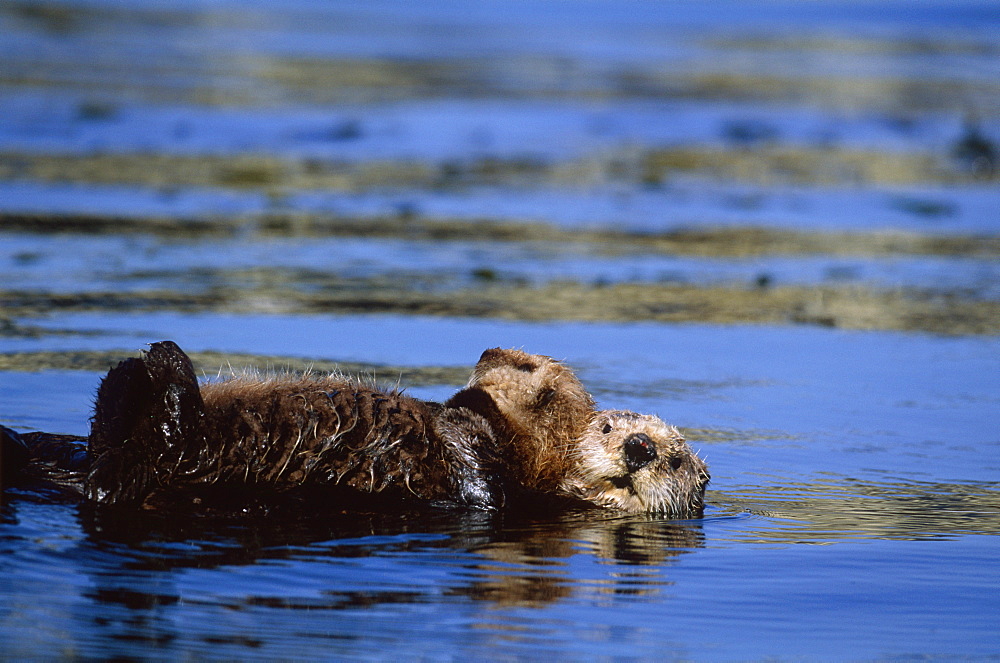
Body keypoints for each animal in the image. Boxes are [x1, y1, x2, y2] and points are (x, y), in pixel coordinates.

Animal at [0, 342, 708, 520]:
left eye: (675, 461)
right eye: (613, 427)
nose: (641, 447)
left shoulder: (502, 491)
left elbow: (477, 479)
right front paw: (482, 385)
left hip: (155, 470)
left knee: (122, 469)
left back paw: (166, 367)